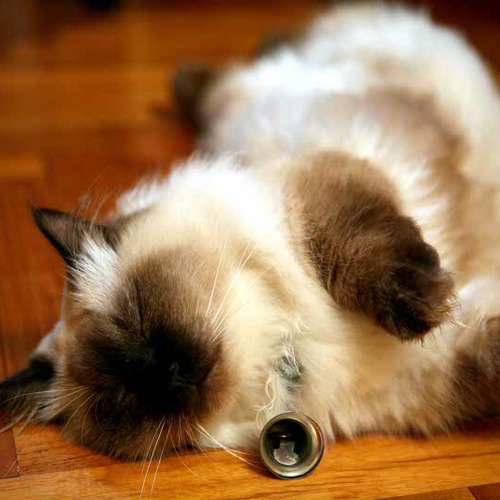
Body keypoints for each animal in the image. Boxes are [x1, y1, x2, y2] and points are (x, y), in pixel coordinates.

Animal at [2, 3, 500, 460]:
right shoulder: (441, 363)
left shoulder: (321, 188)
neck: (285, 345)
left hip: (272, 85)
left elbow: (359, 249)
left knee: (255, 59)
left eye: (137, 315)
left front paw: (423, 306)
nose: (163, 375)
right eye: (116, 398)